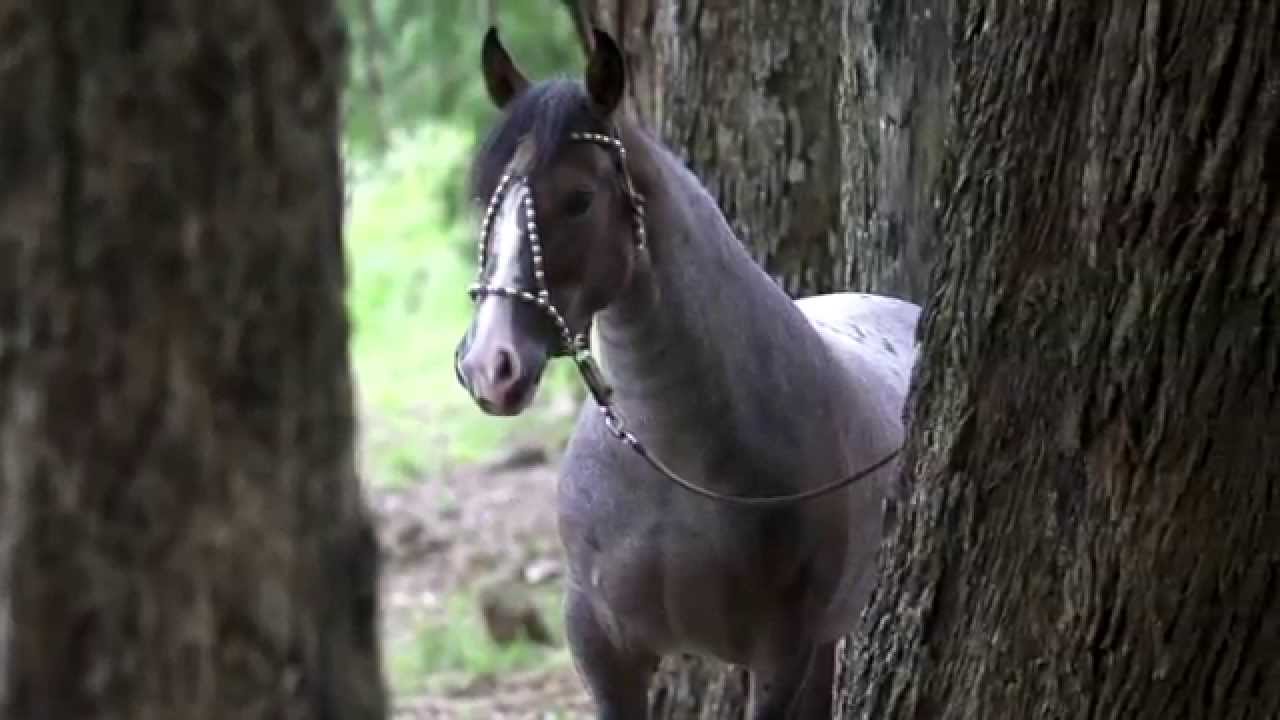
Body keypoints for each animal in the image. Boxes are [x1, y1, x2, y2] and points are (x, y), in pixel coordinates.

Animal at [454, 26, 920, 719]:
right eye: (487, 197)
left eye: (579, 199)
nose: (490, 365)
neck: (670, 457)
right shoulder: (603, 649)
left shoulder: (781, 655)